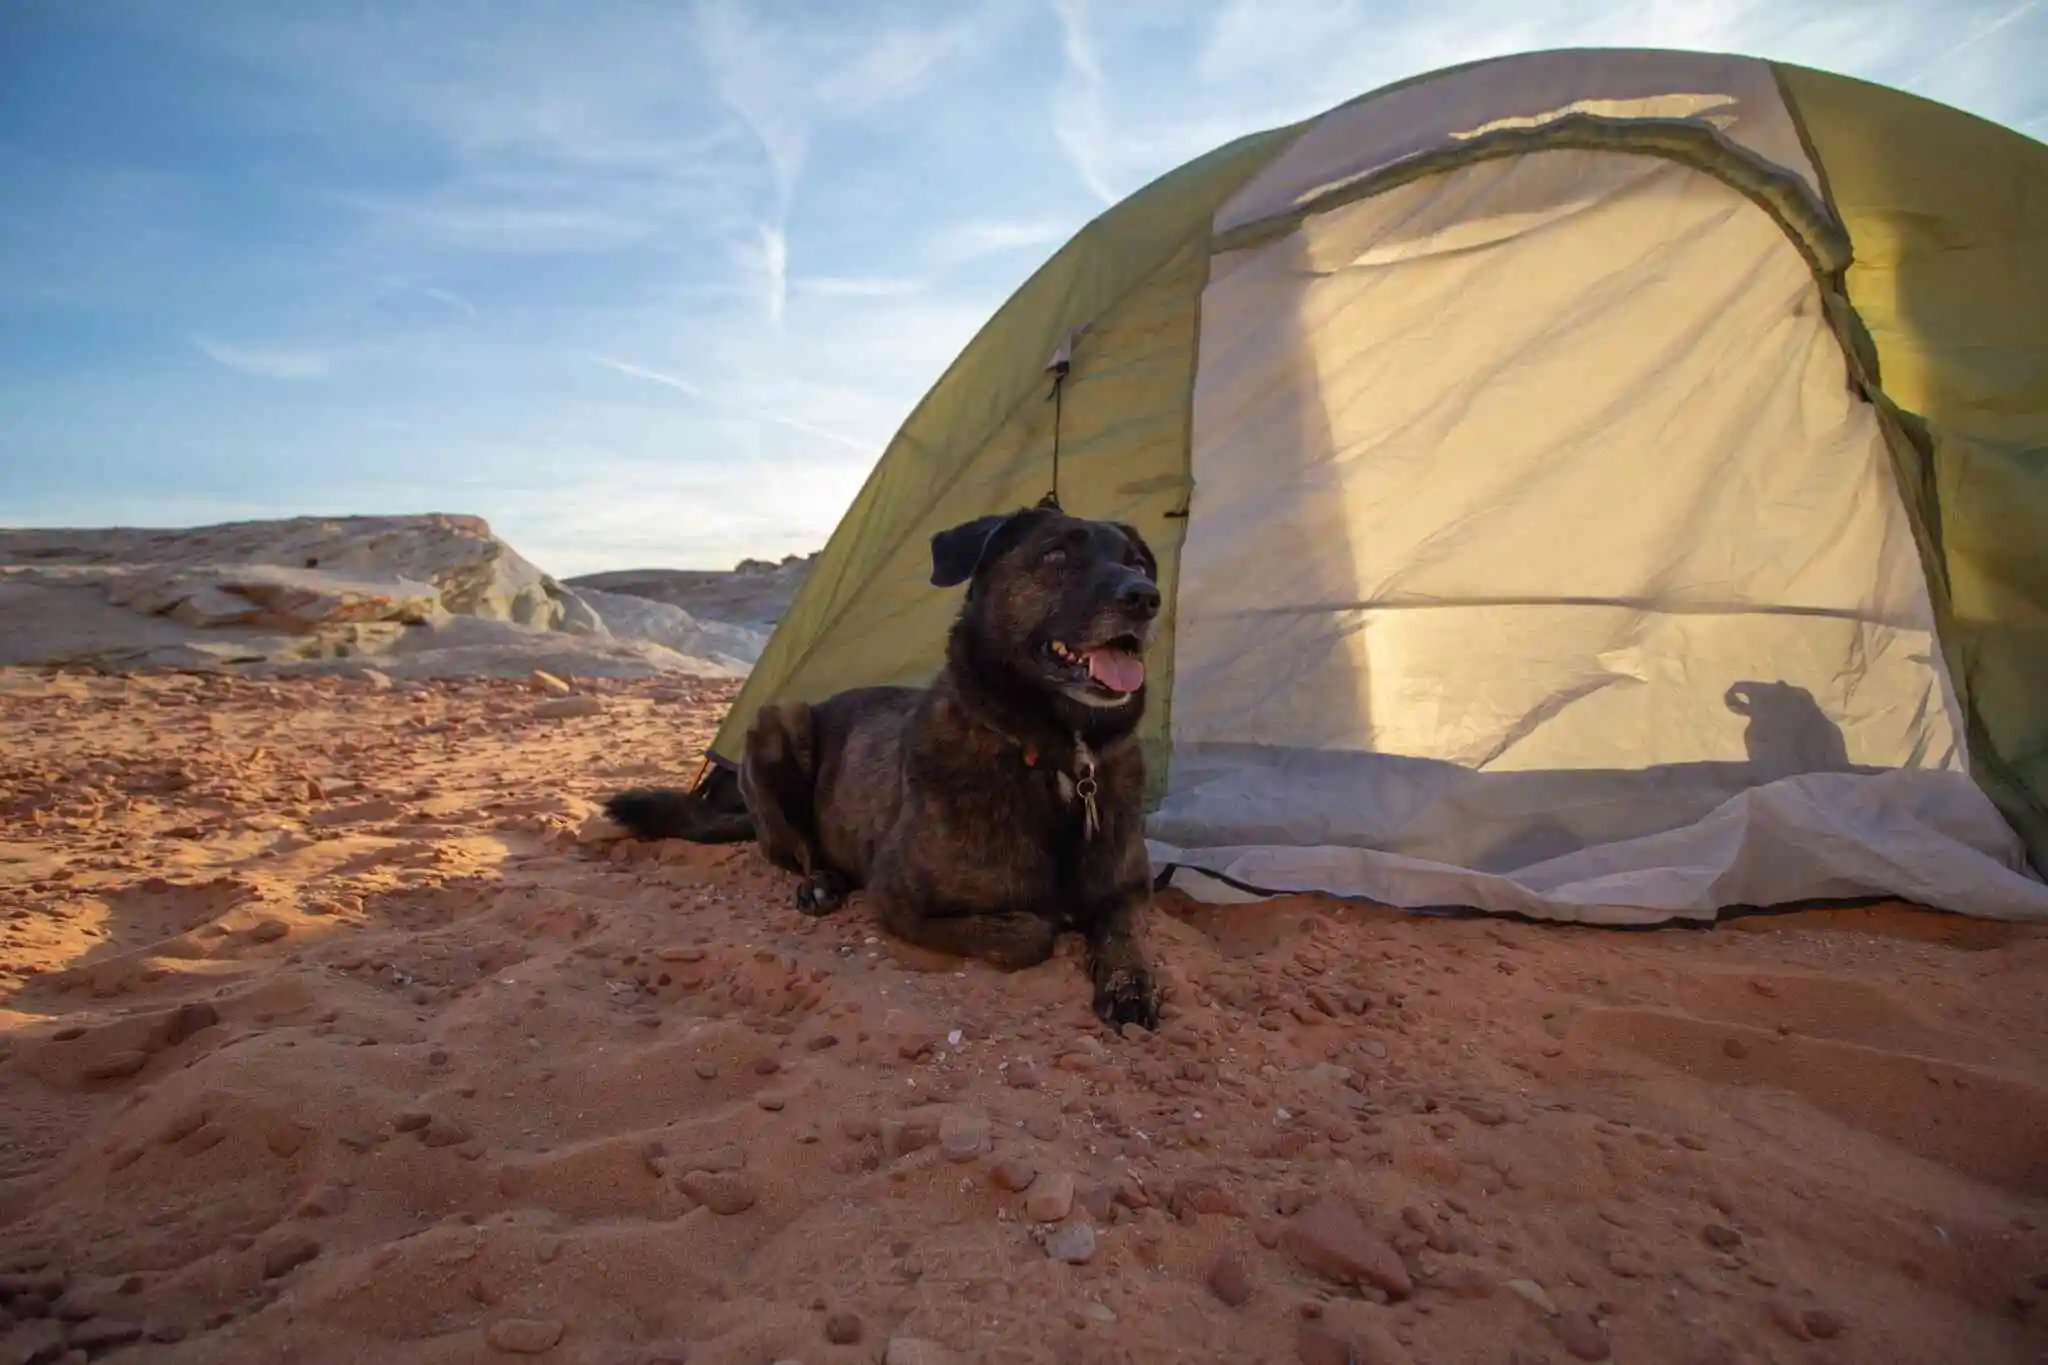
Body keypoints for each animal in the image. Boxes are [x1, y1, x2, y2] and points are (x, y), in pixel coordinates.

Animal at [598, 507, 1163, 1031]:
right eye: (1055, 555)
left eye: (1137, 562)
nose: (1146, 597)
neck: (1060, 759)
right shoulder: (898, 898)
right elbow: (1031, 931)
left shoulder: (1130, 888)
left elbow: (1124, 930)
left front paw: (1129, 986)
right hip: (778, 720)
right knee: (799, 849)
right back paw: (821, 882)